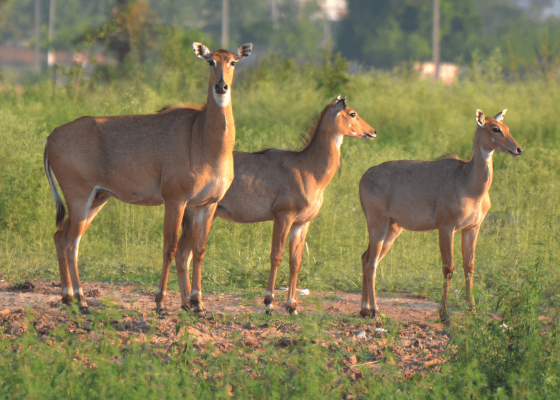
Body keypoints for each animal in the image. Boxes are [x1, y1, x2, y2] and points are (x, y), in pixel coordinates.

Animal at [43, 43, 252, 312]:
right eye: (210, 62)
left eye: (232, 62)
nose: (221, 86)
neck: (203, 137)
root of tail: (51, 137)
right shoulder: (175, 200)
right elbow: (169, 248)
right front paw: (161, 302)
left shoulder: (207, 203)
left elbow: (199, 250)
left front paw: (198, 304)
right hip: (79, 196)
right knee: (71, 243)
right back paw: (81, 299)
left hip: (97, 198)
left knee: (61, 237)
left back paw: (68, 296)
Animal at [153, 95, 376, 314]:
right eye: (352, 113)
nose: (373, 131)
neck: (309, 169)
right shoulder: (283, 216)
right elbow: (276, 255)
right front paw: (269, 302)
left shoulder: (302, 223)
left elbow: (296, 261)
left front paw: (292, 306)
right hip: (196, 215)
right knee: (183, 253)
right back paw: (188, 303)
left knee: (184, 255)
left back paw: (187, 304)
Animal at [360, 108, 524, 318]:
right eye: (495, 129)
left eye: (507, 127)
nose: (518, 149)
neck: (469, 184)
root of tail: (363, 177)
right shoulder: (446, 226)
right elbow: (448, 268)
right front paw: (444, 312)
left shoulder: (472, 227)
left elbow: (469, 266)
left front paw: (472, 308)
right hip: (377, 222)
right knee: (371, 261)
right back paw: (375, 311)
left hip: (393, 227)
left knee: (367, 257)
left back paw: (364, 309)